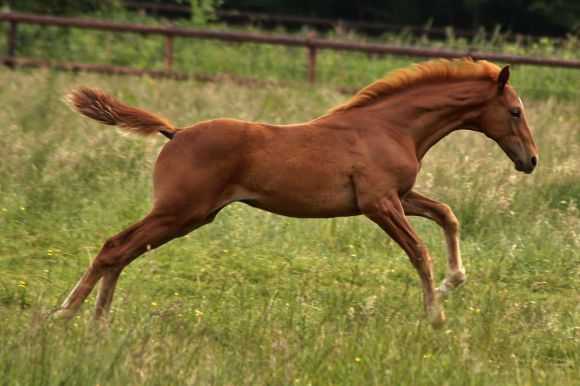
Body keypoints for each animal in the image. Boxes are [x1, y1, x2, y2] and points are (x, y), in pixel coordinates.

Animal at [55, 58, 540, 328]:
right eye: (515, 111)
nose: (531, 160)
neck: (390, 127)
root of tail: (175, 133)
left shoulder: (400, 195)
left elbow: (446, 214)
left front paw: (451, 285)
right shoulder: (378, 203)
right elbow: (419, 250)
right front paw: (436, 317)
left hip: (186, 215)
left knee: (123, 250)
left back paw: (97, 322)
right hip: (180, 212)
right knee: (115, 247)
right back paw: (64, 317)